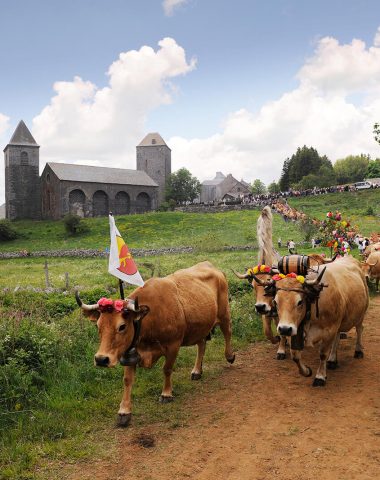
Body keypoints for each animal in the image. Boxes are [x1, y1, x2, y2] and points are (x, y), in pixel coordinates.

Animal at [75, 262, 235, 428]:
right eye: (98, 326)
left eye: (122, 326)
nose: (101, 359)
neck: (149, 318)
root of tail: (211, 266)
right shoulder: (130, 352)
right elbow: (127, 380)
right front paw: (124, 411)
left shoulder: (173, 345)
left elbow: (167, 369)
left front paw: (166, 394)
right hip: (201, 326)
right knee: (202, 344)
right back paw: (197, 371)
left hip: (224, 313)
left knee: (228, 333)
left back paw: (230, 356)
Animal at [272, 255, 370, 386]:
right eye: (275, 301)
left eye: (300, 302)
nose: (284, 329)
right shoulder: (297, 328)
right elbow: (295, 355)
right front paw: (306, 371)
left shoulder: (329, 330)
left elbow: (323, 354)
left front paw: (320, 376)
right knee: (337, 338)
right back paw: (332, 360)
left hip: (361, 313)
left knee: (359, 329)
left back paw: (358, 351)